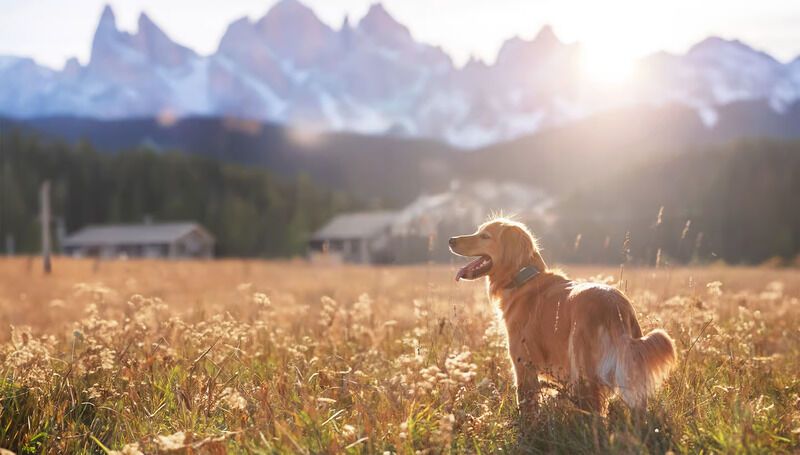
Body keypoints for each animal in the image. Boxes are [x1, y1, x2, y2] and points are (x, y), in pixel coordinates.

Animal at [450, 219, 676, 416]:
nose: (451, 240)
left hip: (583, 369)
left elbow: (526, 406)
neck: (524, 279)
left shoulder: (522, 364)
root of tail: (615, 306)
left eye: (485, 236)